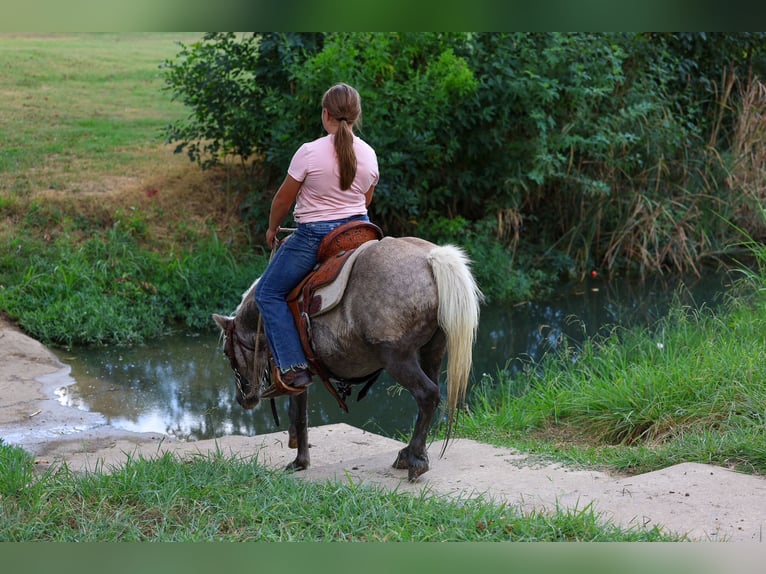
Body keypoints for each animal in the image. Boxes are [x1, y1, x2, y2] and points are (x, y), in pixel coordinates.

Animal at [212, 235, 482, 481]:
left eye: (226, 352)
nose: (243, 399)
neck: (261, 316)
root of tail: (431, 258)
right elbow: (299, 412)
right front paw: (297, 450)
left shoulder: (297, 373)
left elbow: (300, 414)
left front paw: (299, 462)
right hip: (433, 350)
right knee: (431, 395)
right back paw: (409, 454)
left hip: (397, 358)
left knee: (427, 395)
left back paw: (415, 460)